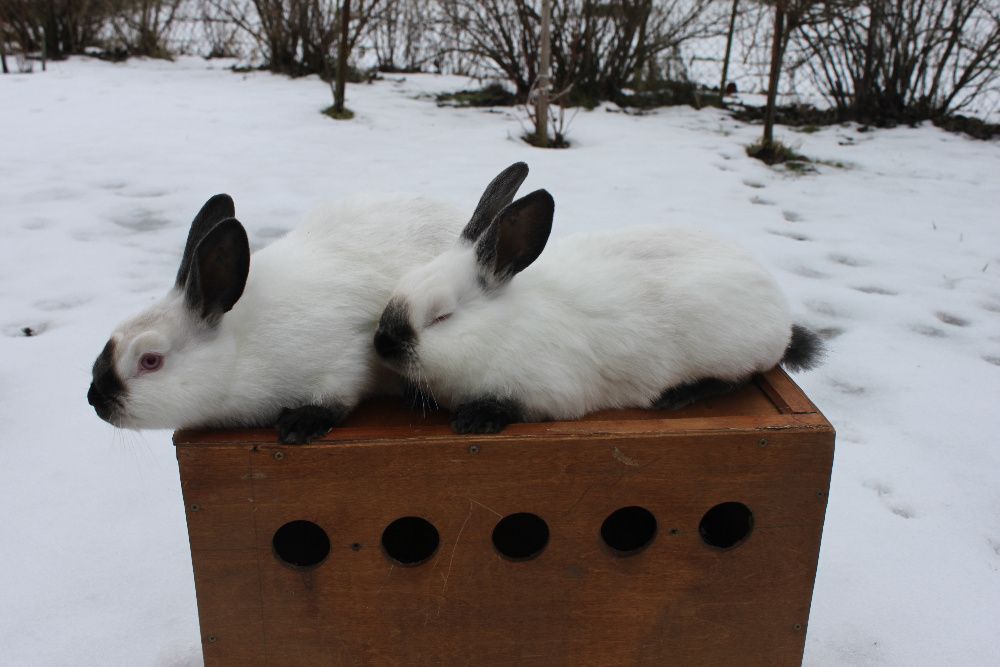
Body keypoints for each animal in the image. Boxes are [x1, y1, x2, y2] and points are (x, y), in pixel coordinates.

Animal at [88, 164, 532, 440]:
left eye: (150, 361)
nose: (95, 399)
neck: (239, 349)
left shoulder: (344, 357)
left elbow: (337, 394)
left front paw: (300, 425)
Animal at [372, 185, 824, 436]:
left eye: (441, 317)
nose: (381, 345)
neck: (500, 329)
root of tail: (781, 317)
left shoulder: (550, 393)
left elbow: (515, 407)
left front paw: (474, 421)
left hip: (730, 350)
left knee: (742, 376)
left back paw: (677, 396)